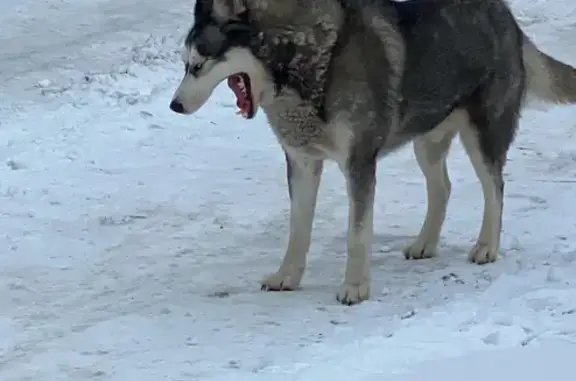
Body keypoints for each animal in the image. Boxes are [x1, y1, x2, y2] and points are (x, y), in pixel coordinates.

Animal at [170, 0, 576, 302]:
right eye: (185, 64)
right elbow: (298, 228)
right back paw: (426, 243)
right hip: (426, 139)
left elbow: (358, 233)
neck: (309, 60)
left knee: (495, 188)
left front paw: (355, 287)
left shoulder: (359, 162)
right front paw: (288, 276)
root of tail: (505, 15)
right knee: (442, 187)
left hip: (483, 135)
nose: (174, 105)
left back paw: (487, 246)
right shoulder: (302, 161)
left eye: (198, 65)